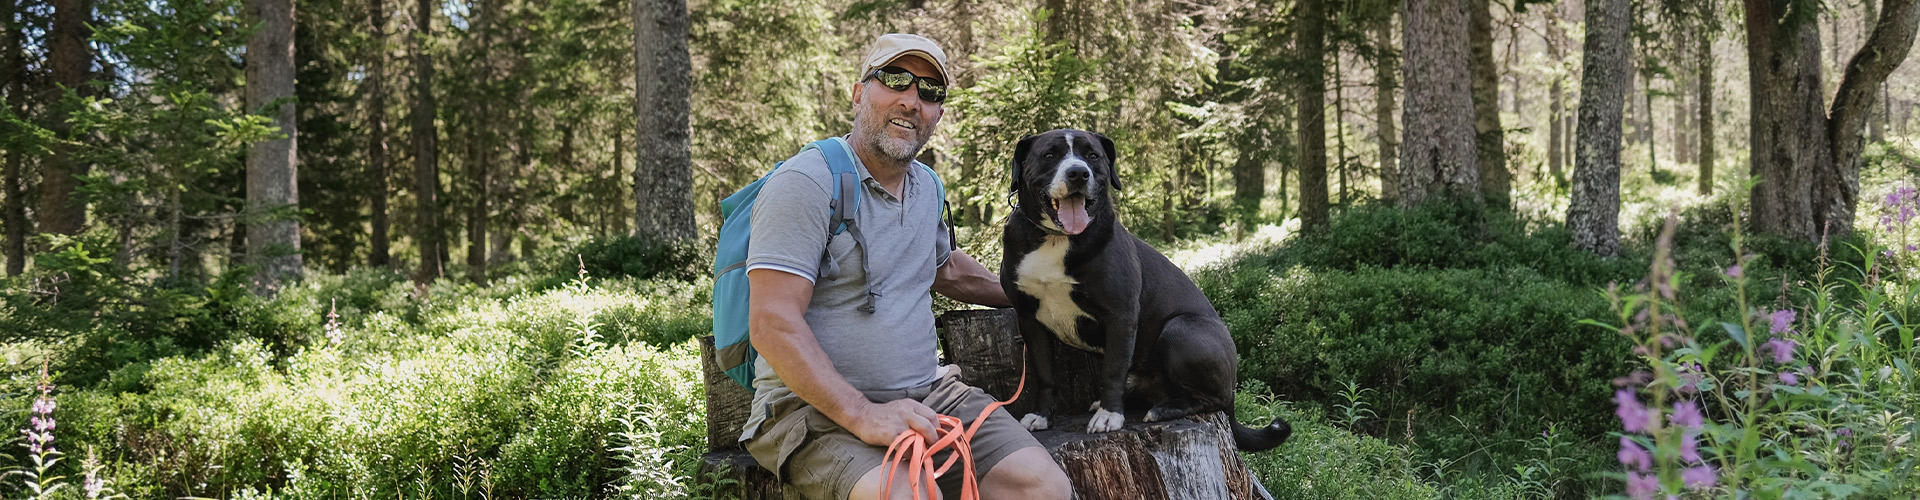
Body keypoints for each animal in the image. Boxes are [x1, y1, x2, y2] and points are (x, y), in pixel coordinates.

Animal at [998, 127, 1297, 453]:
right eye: (1049, 154)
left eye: (1093, 155)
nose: (1078, 173)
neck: (1054, 239)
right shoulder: (1030, 320)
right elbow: (1045, 375)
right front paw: (1042, 416)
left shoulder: (1120, 316)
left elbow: (1113, 370)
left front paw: (1110, 416)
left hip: (1182, 330)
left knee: (1211, 399)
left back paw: (1163, 409)